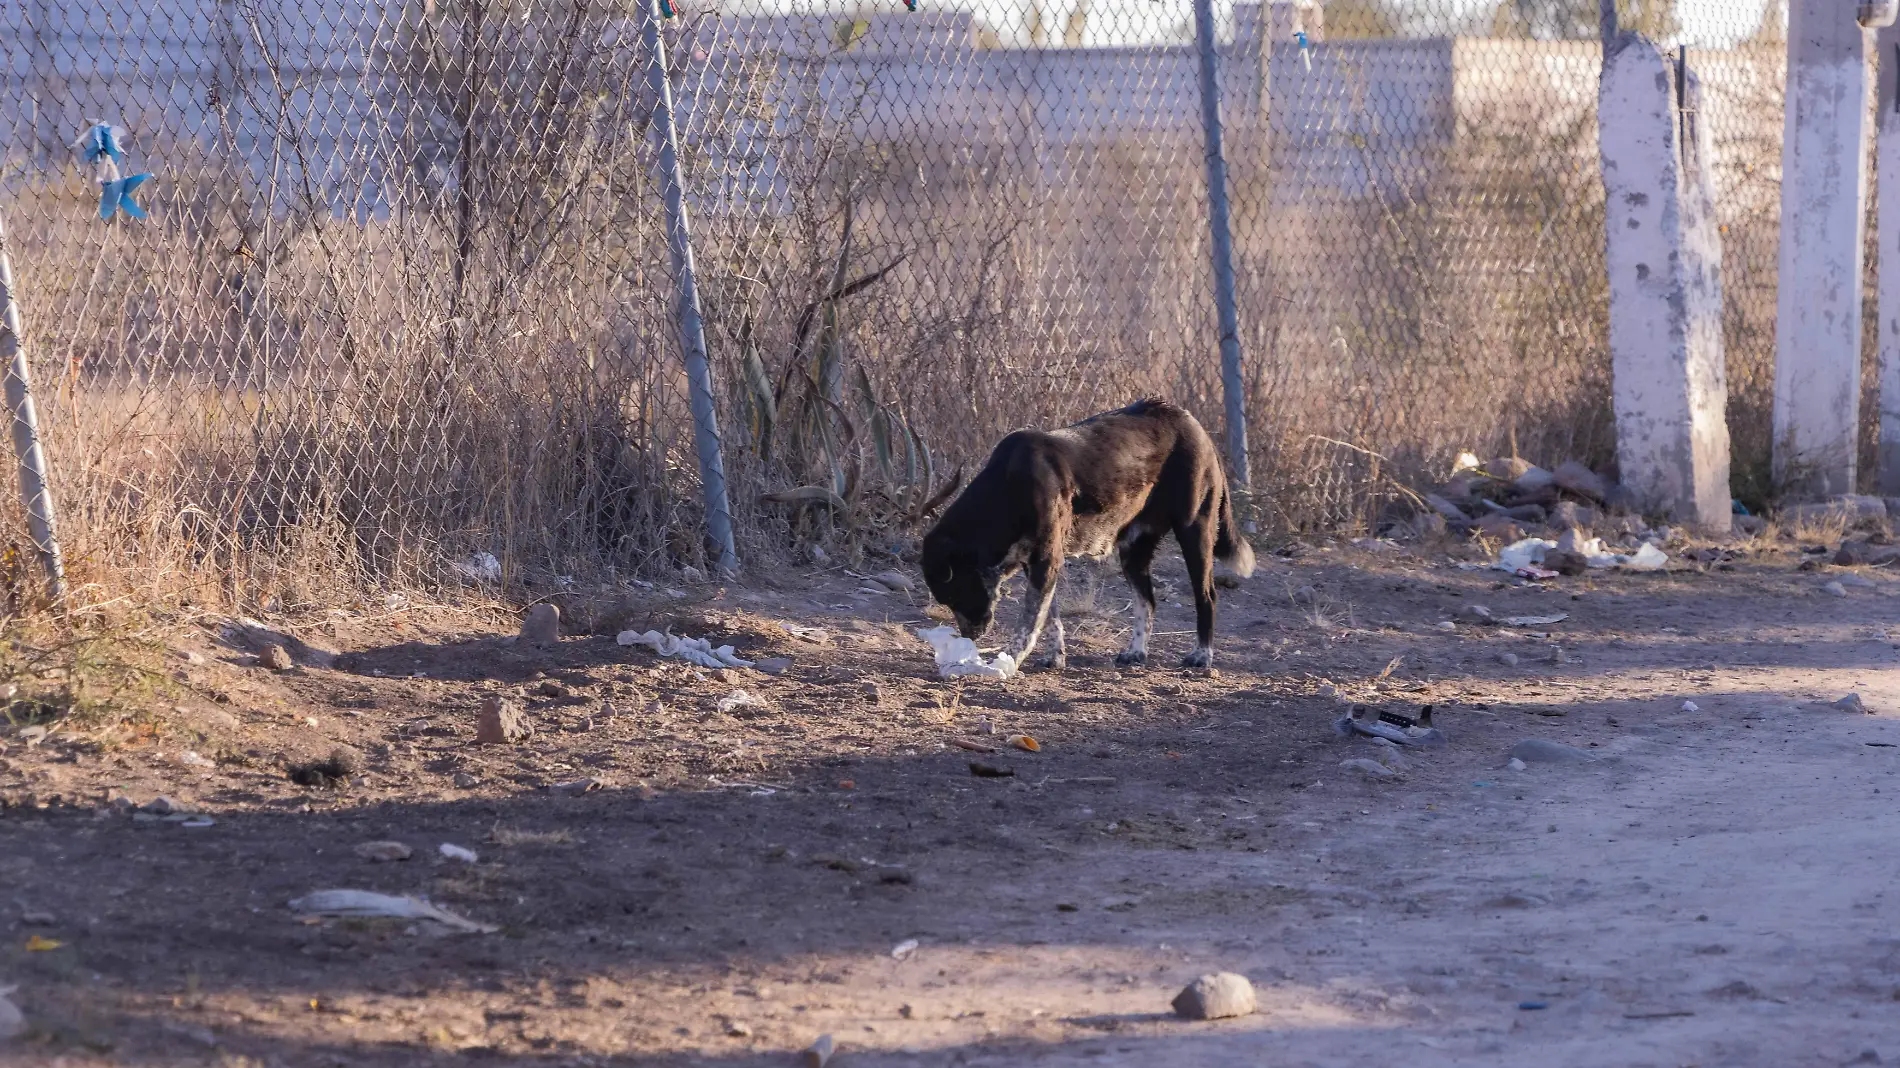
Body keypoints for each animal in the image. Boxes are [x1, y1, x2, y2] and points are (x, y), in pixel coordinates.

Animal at [915, 399, 1254, 665]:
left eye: (954, 593)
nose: (969, 636)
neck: (1008, 489)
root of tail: (1193, 423)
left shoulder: (1046, 560)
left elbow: (1029, 622)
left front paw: (1009, 659)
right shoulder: (1036, 564)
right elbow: (1049, 617)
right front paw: (1054, 656)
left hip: (1195, 532)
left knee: (1206, 595)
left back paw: (1202, 654)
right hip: (1133, 551)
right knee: (1147, 601)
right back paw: (1136, 651)